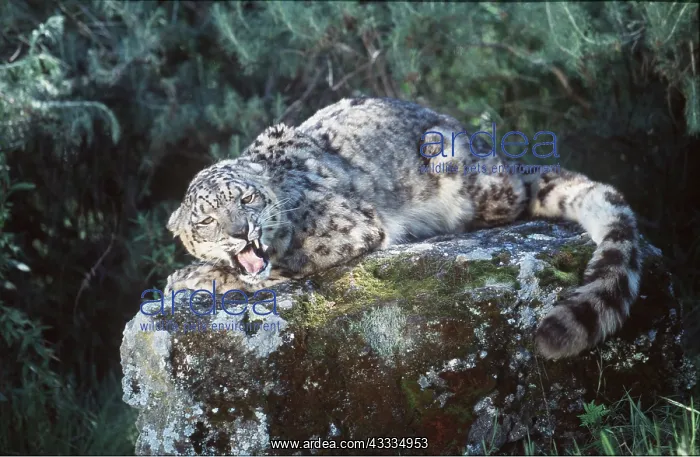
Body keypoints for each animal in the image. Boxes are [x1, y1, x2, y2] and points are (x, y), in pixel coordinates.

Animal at [165, 97, 642, 360]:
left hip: (468, 174)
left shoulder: (341, 230)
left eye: (247, 199)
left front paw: (187, 277)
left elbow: (268, 269)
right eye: (206, 220)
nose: (241, 232)